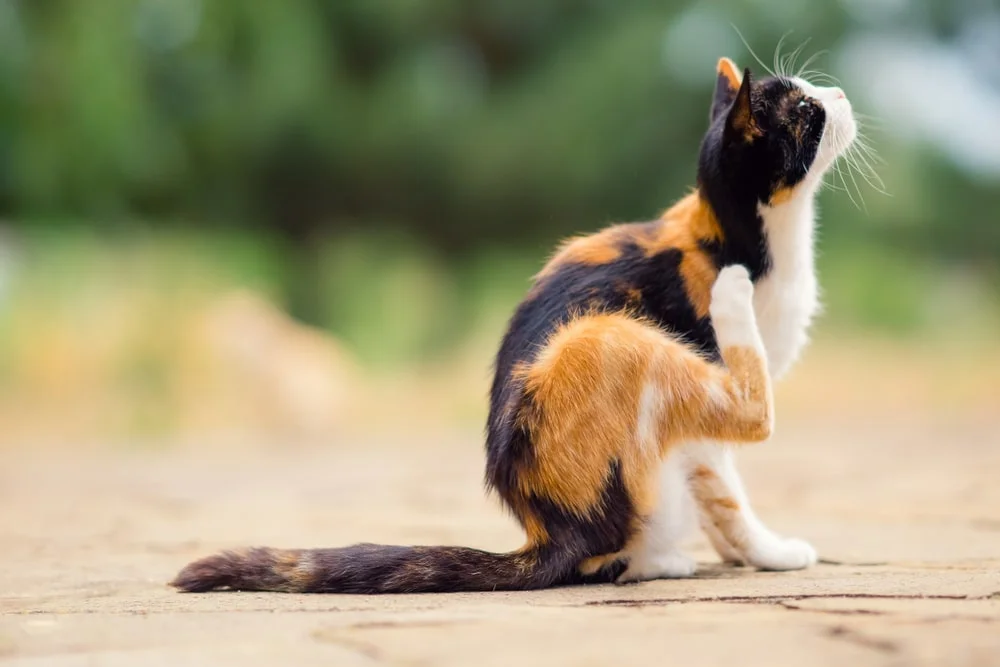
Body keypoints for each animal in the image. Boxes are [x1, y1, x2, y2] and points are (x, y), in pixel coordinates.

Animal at [172, 57, 860, 596]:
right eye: (804, 108)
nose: (841, 95)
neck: (742, 238)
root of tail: (547, 532)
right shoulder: (700, 398)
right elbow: (731, 491)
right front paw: (771, 553)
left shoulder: (697, 449)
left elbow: (716, 495)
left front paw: (737, 553)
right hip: (604, 335)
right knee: (749, 417)